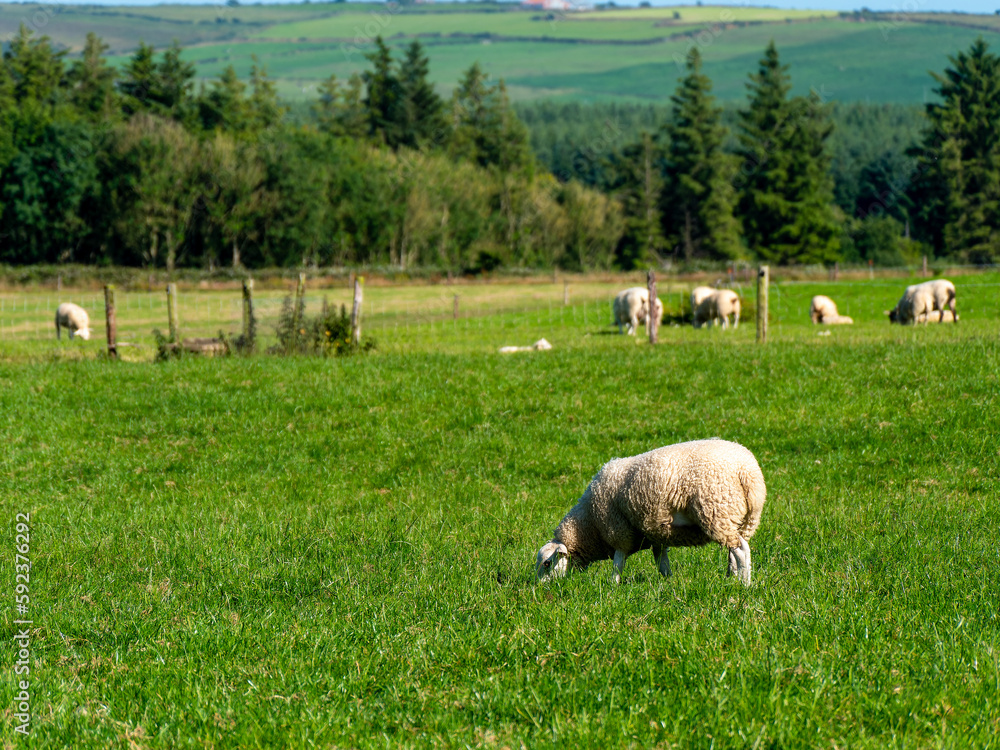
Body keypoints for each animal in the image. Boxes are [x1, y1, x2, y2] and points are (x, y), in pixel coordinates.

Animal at [535, 438, 766, 586]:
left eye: (547, 563)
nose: (538, 588)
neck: (588, 524)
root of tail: (747, 471)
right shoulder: (657, 535)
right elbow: (662, 562)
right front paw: (668, 582)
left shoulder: (618, 531)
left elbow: (618, 563)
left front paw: (612, 587)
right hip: (740, 519)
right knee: (734, 552)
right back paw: (731, 579)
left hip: (717, 512)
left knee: (740, 550)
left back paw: (744, 584)